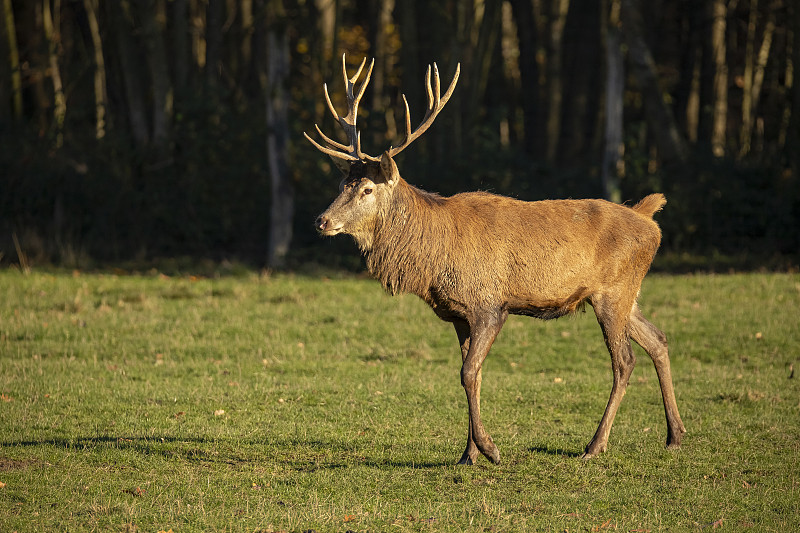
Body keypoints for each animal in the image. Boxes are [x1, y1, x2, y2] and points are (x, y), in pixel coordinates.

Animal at [304, 52, 684, 464]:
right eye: (342, 184)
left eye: (368, 190)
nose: (322, 220)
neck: (434, 258)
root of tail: (649, 219)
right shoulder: (458, 313)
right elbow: (474, 373)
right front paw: (468, 453)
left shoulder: (488, 304)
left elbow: (468, 373)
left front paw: (489, 449)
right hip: (628, 295)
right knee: (658, 339)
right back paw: (675, 435)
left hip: (612, 292)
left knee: (624, 360)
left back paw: (595, 445)